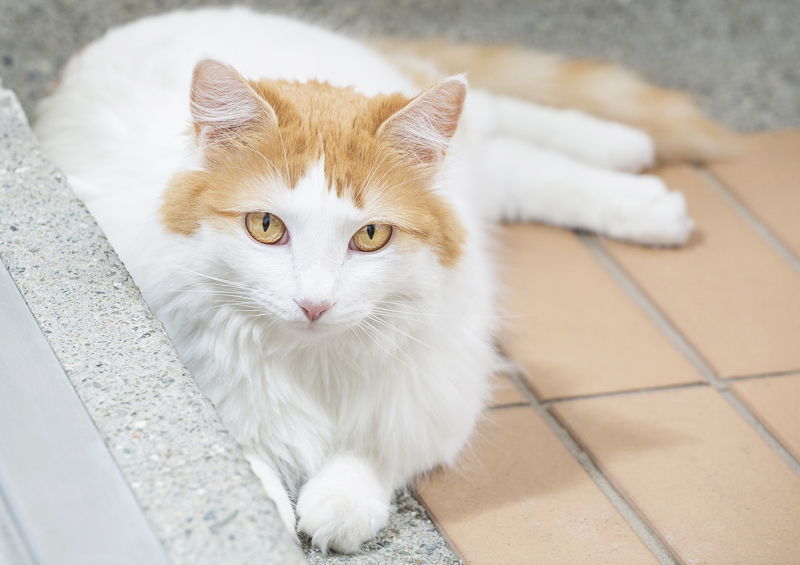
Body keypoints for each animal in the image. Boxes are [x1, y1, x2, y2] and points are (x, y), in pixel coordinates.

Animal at [34, 4, 736, 552]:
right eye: (266, 226)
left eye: (370, 236)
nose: (314, 304)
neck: (311, 361)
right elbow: (246, 457)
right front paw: (268, 504)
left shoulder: (434, 391)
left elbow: (370, 453)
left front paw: (337, 507)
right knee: (514, 156)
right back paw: (638, 174)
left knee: (507, 124)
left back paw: (635, 168)